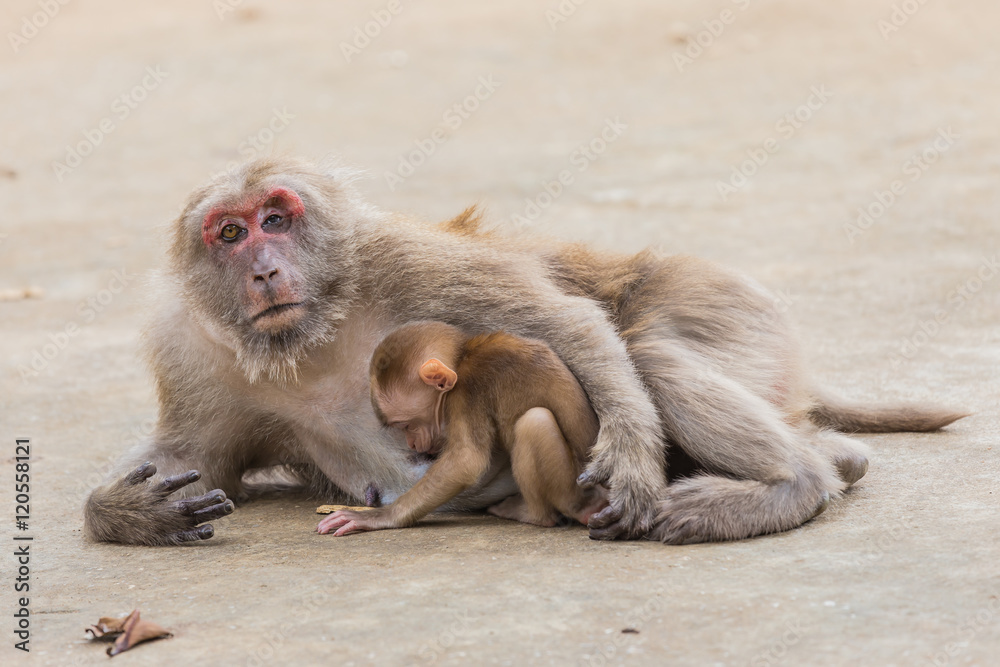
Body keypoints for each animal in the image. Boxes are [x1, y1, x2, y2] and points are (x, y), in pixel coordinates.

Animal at [316, 320, 604, 536]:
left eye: (407, 425)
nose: (411, 443)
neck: (464, 357)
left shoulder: (466, 393)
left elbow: (466, 460)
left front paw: (381, 516)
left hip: (571, 490)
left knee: (534, 422)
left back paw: (533, 514)